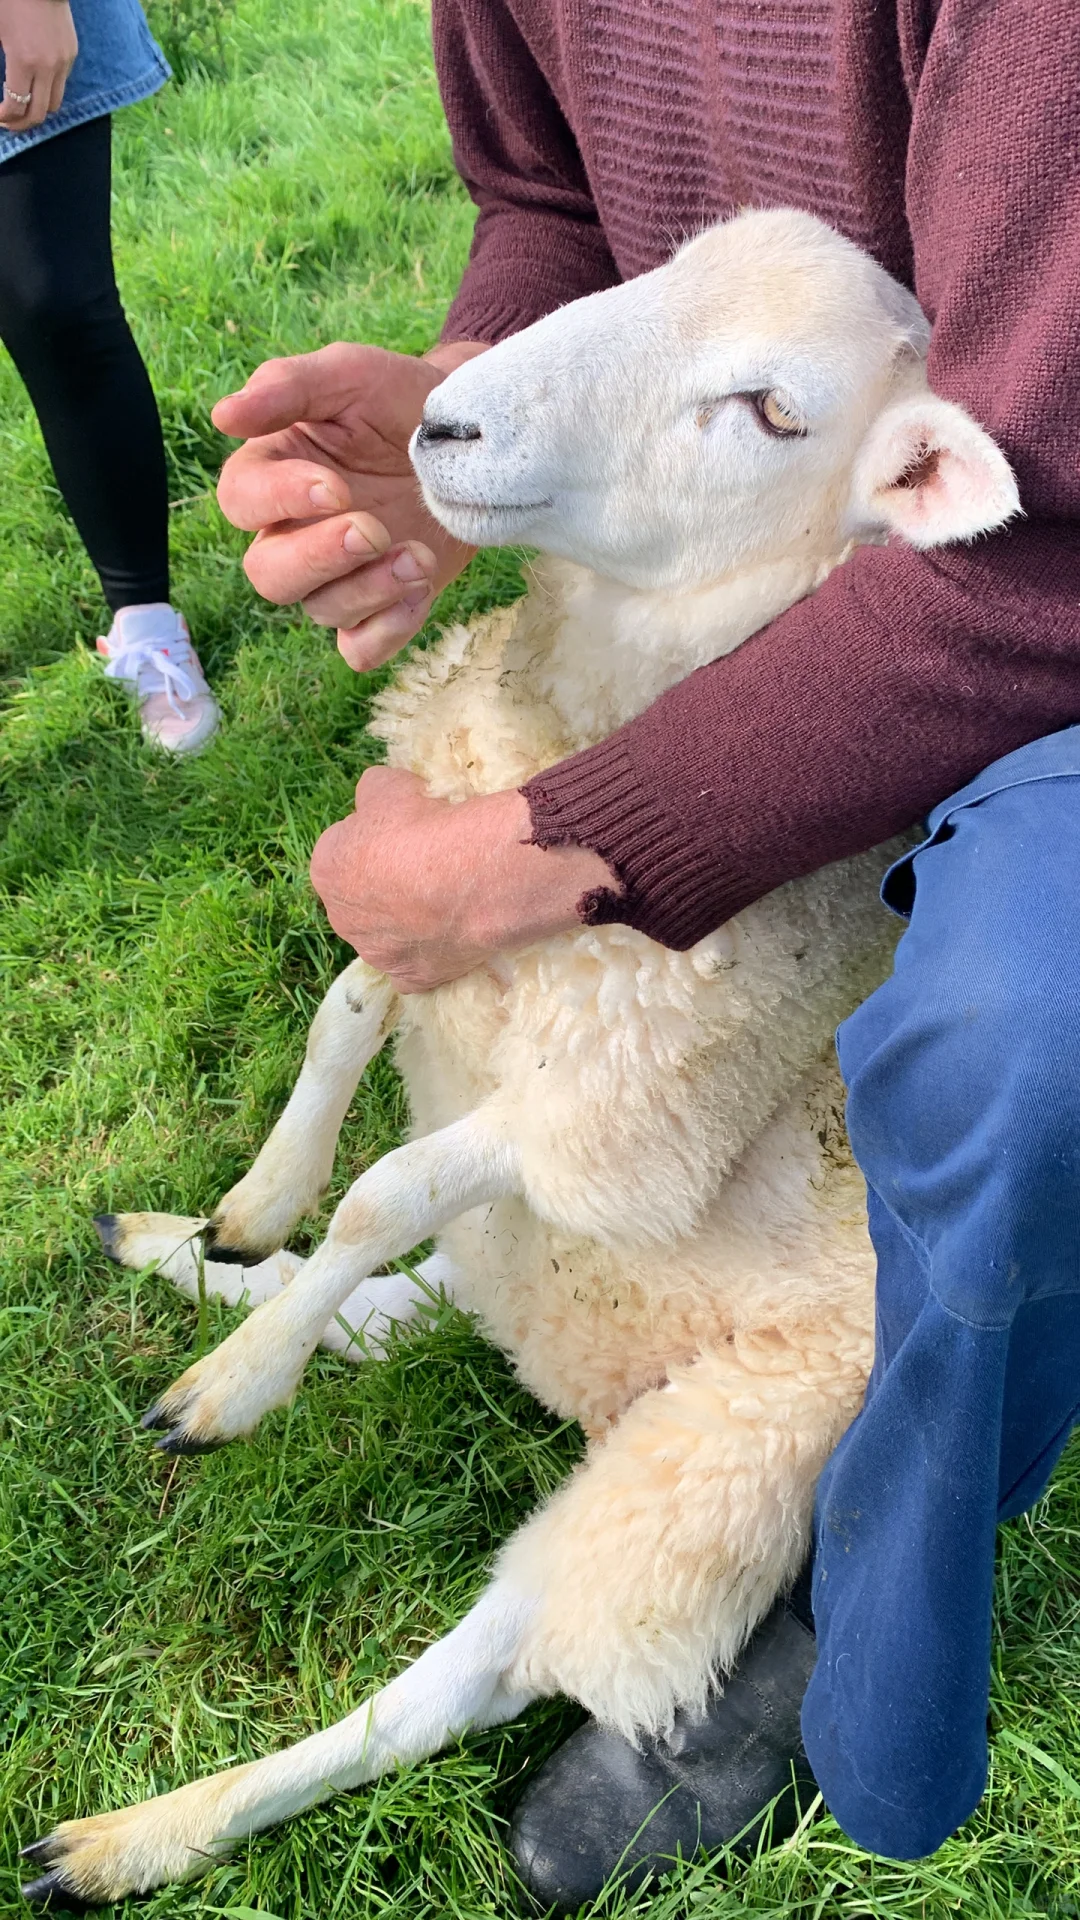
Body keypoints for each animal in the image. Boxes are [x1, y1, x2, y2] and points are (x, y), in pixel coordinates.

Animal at [21, 210, 1014, 1904]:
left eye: (773, 411)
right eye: (657, 267)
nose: (442, 425)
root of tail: (585, 1378)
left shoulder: (613, 1119)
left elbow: (387, 1189)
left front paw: (245, 1374)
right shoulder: (444, 937)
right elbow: (343, 1017)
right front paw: (260, 1197)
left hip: (694, 1476)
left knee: (437, 1696)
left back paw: (138, 1828)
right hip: (527, 1274)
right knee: (375, 1311)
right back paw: (188, 1261)